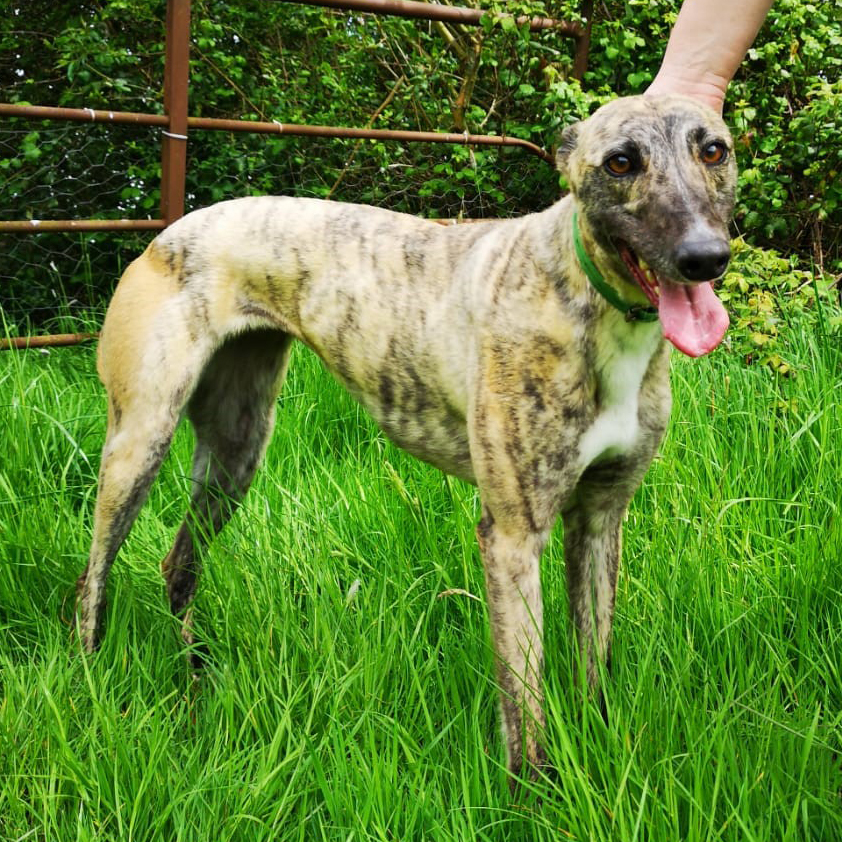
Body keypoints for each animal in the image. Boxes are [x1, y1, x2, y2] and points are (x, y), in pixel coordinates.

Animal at [76, 94, 737, 781]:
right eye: (621, 162)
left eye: (714, 149)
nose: (705, 257)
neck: (586, 296)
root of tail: (172, 230)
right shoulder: (512, 537)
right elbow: (523, 705)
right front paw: (537, 791)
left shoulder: (601, 517)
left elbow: (594, 661)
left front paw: (601, 752)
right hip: (140, 440)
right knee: (93, 578)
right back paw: (94, 682)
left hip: (237, 449)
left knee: (178, 562)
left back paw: (193, 675)